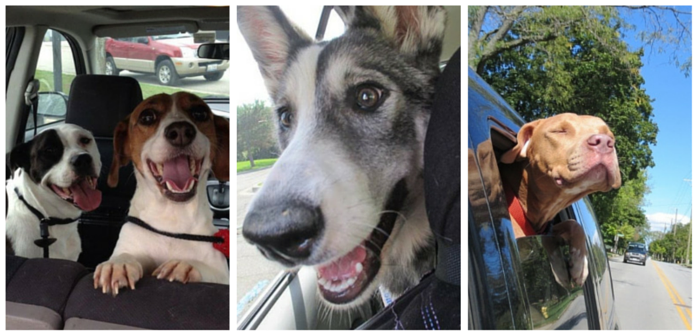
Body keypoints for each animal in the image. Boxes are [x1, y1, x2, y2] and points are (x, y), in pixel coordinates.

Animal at [92, 92, 228, 296]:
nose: (181, 131)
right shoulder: (131, 244)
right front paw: (118, 264)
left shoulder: (221, 272)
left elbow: (209, 271)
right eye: (147, 117)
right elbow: (125, 255)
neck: (171, 221)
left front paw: (184, 265)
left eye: (200, 113)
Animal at [498, 113, 616, 286]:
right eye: (560, 131)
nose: (605, 142)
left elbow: (573, 225)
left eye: (610, 136)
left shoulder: (548, 228)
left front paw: (579, 265)